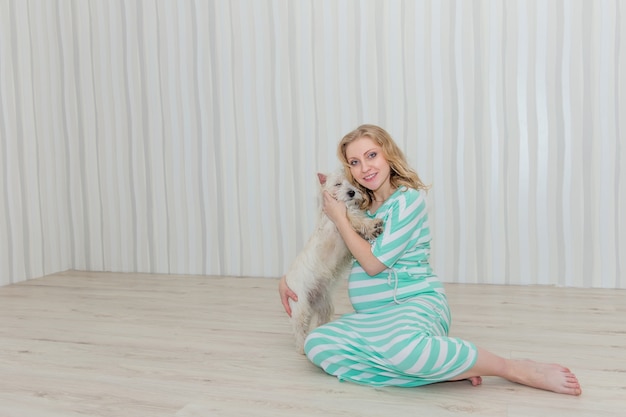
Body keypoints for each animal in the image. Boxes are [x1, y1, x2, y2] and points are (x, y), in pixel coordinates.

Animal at [286, 168, 382, 352]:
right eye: (338, 184)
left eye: (353, 182)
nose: (351, 193)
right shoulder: (340, 223)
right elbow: (354, 218)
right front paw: (372, 225)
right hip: (300, 305)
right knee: (299, 327)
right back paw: (302, 347)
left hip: (324, 305)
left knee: (321, 319)